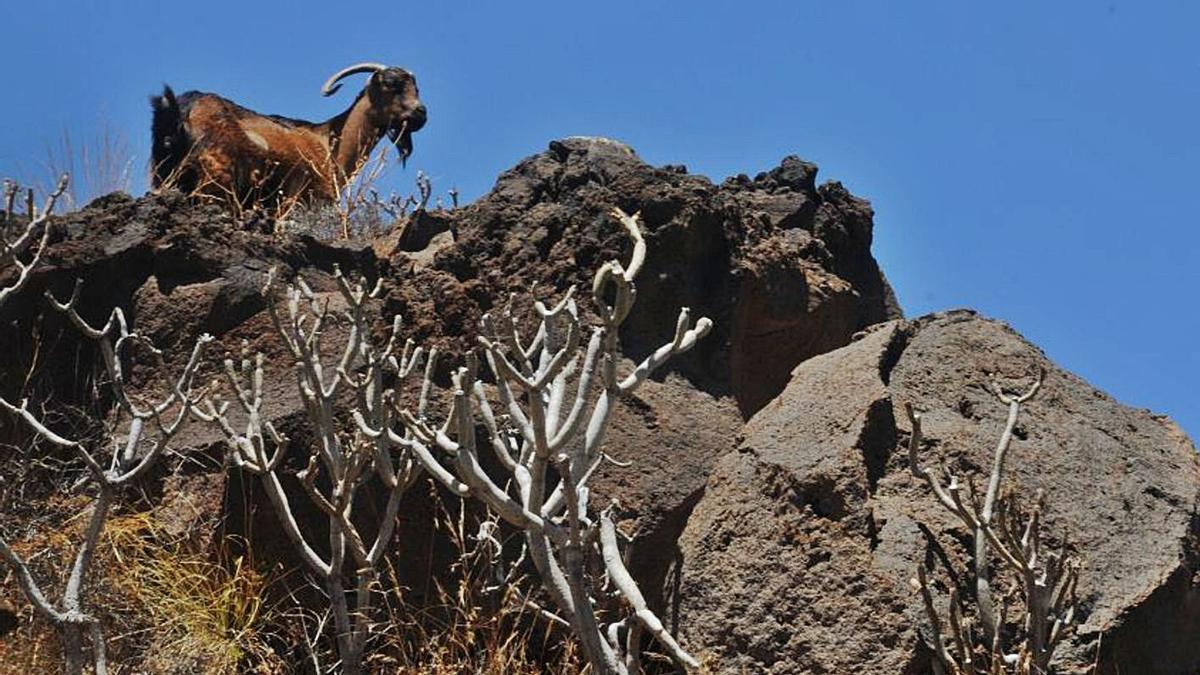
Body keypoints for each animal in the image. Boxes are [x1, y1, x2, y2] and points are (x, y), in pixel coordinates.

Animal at [152, 63, 427, 210]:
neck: (329, 141)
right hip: (215, 178)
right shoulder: (302, 200)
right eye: (390, 84)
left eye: (416, 87)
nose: (421, 113)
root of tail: (185, 108)